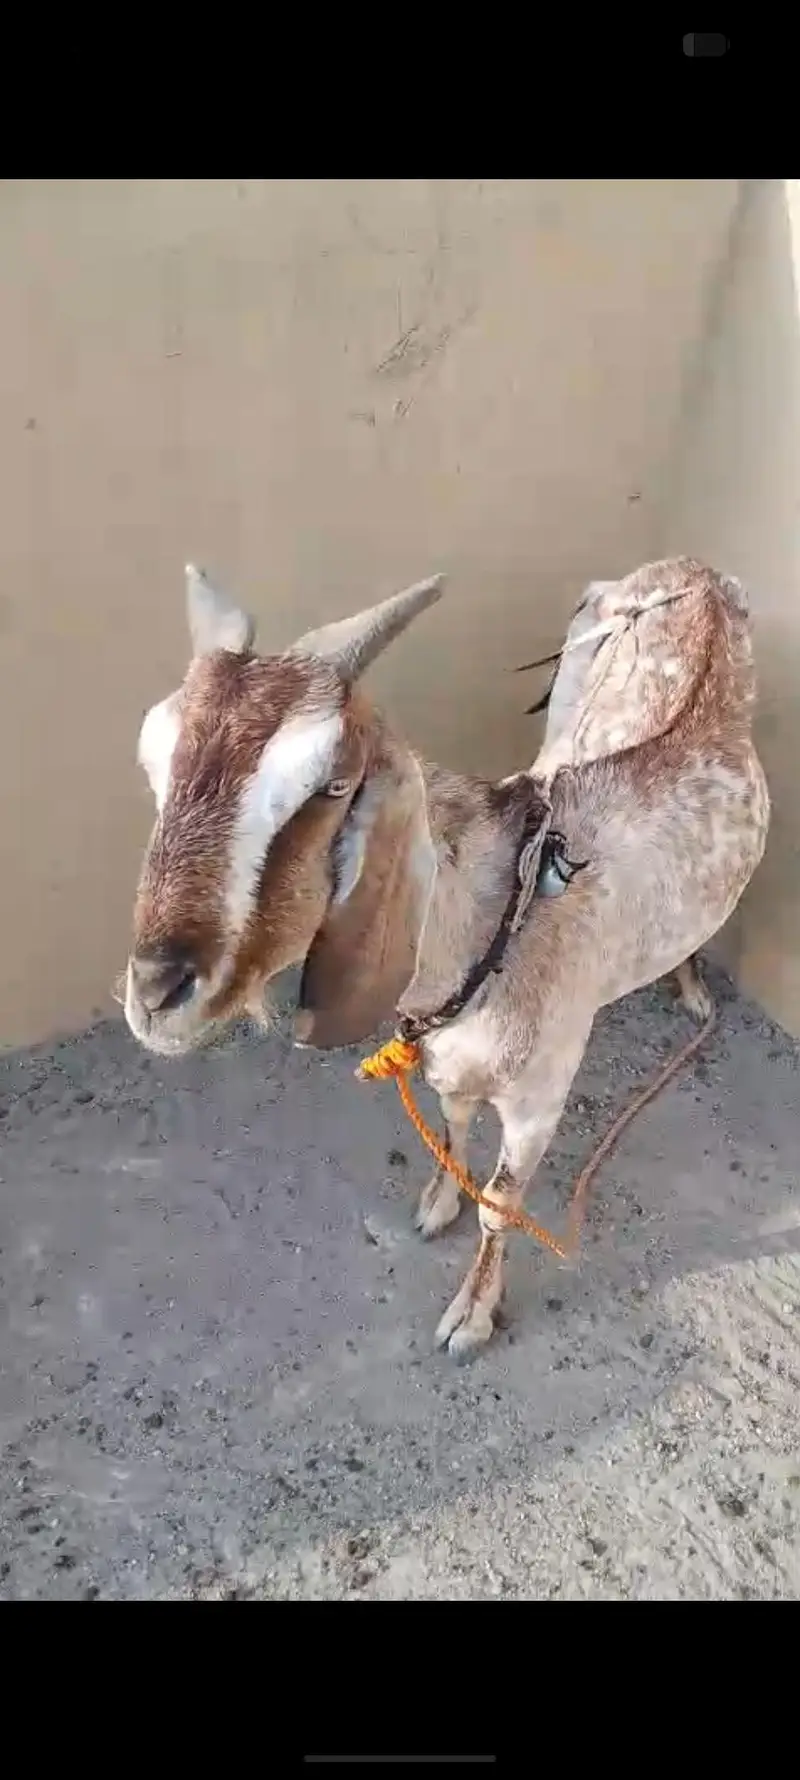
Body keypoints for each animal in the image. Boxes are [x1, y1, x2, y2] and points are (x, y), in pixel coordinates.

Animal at [124, 559, 769, 1359]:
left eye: (331, 785)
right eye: (153, 763)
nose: (156, 992)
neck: (497, 922)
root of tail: (694, 573)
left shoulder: (540, 1097)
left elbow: (500, 1205)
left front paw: (472, 1315)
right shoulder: (450, 1056)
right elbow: (453, 1116)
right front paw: (437, 1204)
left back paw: (692, 986)